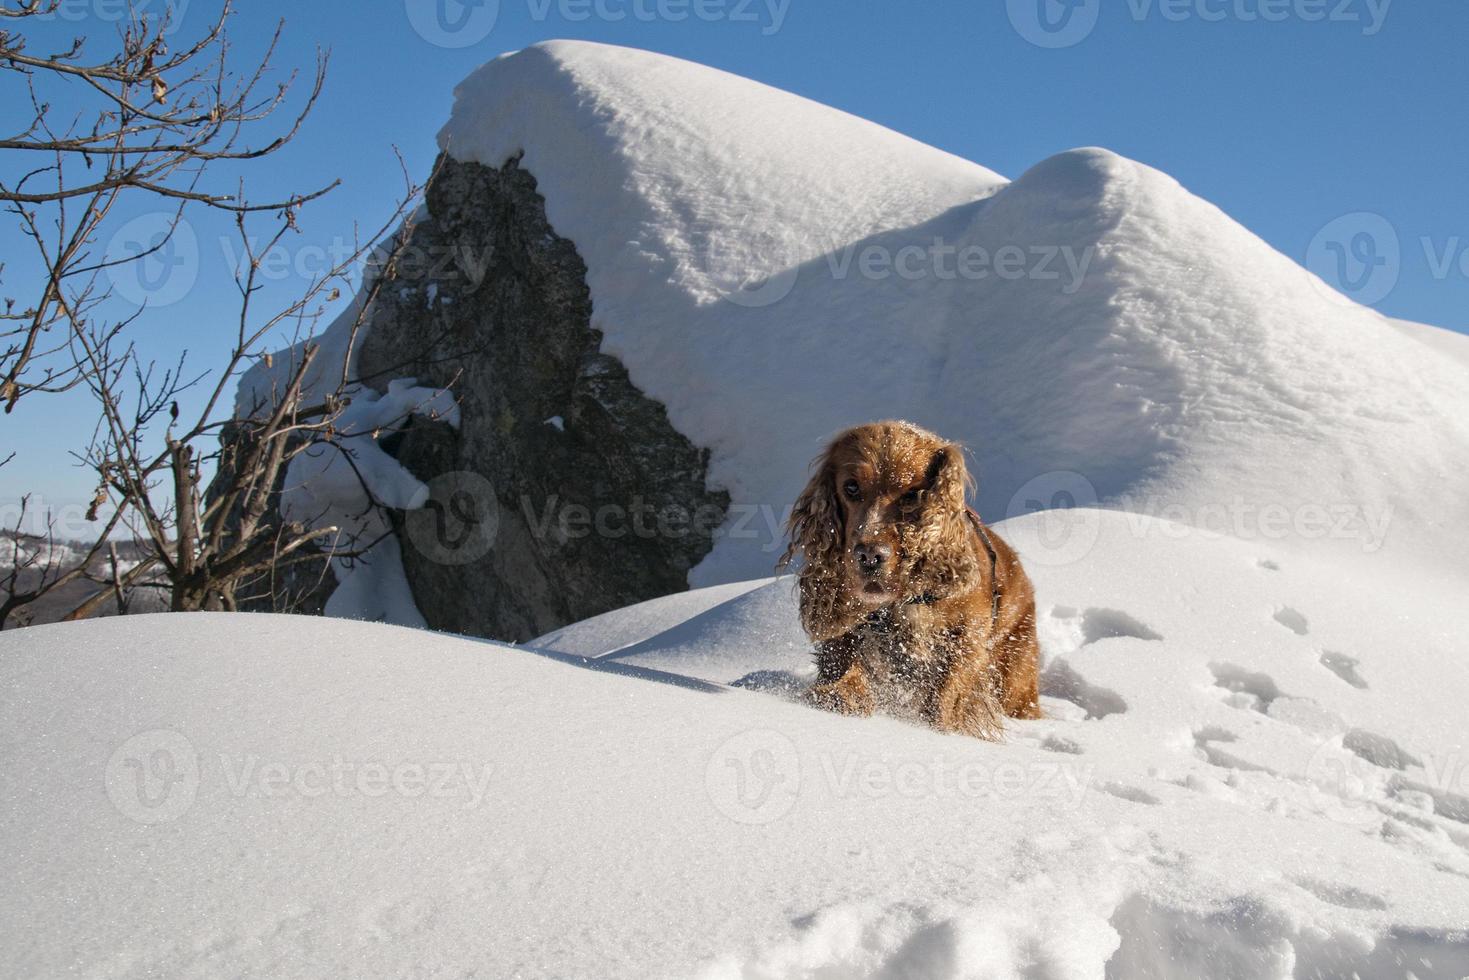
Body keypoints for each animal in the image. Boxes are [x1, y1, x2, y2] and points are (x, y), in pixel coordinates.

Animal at [787, 417, 1040, 740]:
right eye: (851, 487)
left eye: (911, 494)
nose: (869, 556)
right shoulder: (847, 633)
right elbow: (844, 670)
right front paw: (843, 697)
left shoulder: (966, 642)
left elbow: (946, 698)